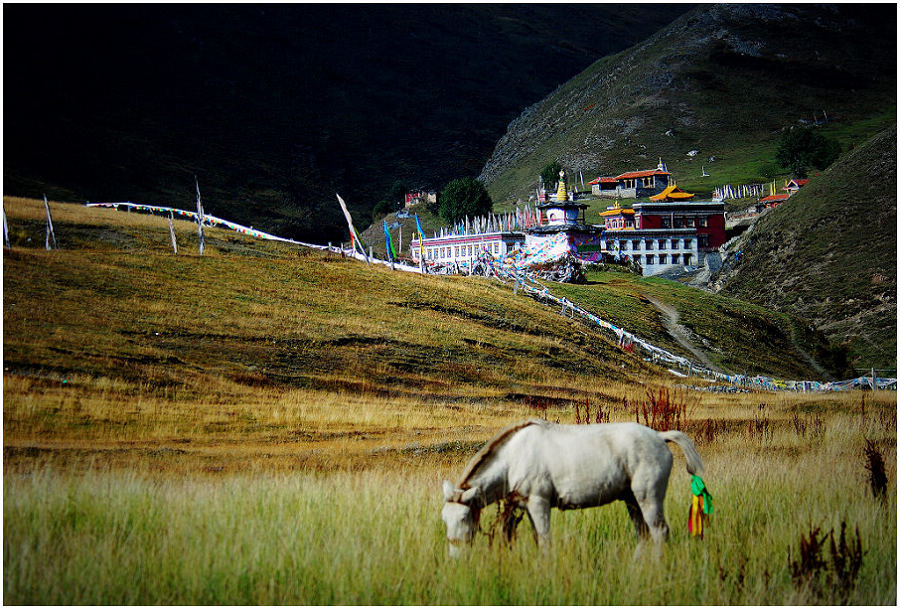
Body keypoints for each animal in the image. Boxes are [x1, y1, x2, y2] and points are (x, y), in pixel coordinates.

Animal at [442, 418, 704, 556]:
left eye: (464, 518)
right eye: (445, 519)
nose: (455, 555)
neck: (514, 456)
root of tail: (659, 436)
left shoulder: (539, 503)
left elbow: (545, 541)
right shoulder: (527, 507)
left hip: (648, 498)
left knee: (659, 532)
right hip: (632, 500)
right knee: (643, 534)